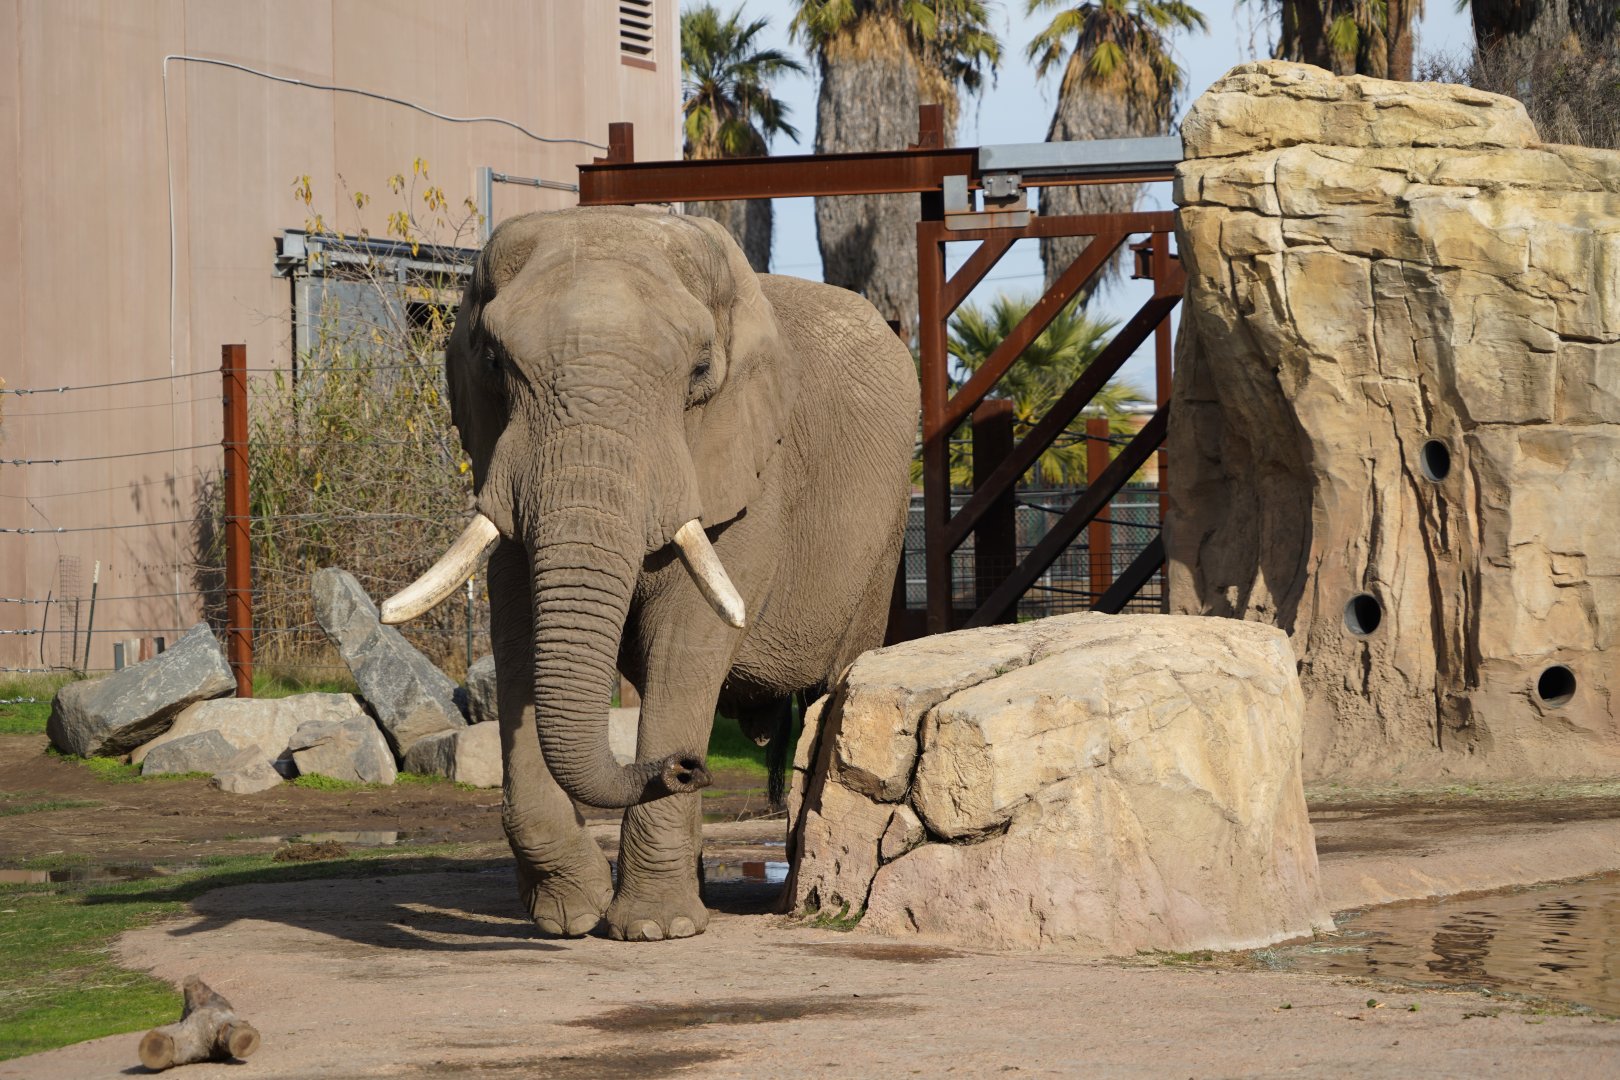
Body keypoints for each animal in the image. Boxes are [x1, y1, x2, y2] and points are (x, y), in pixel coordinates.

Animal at [379, 206, 919, 941]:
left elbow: (687, 644)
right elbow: (521, 641)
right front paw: (571, 916)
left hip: (883, 541)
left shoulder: (749, 475)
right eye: (493, 362)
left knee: (834, 681)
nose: (688, 767)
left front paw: (655, 930)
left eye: (700, 371)